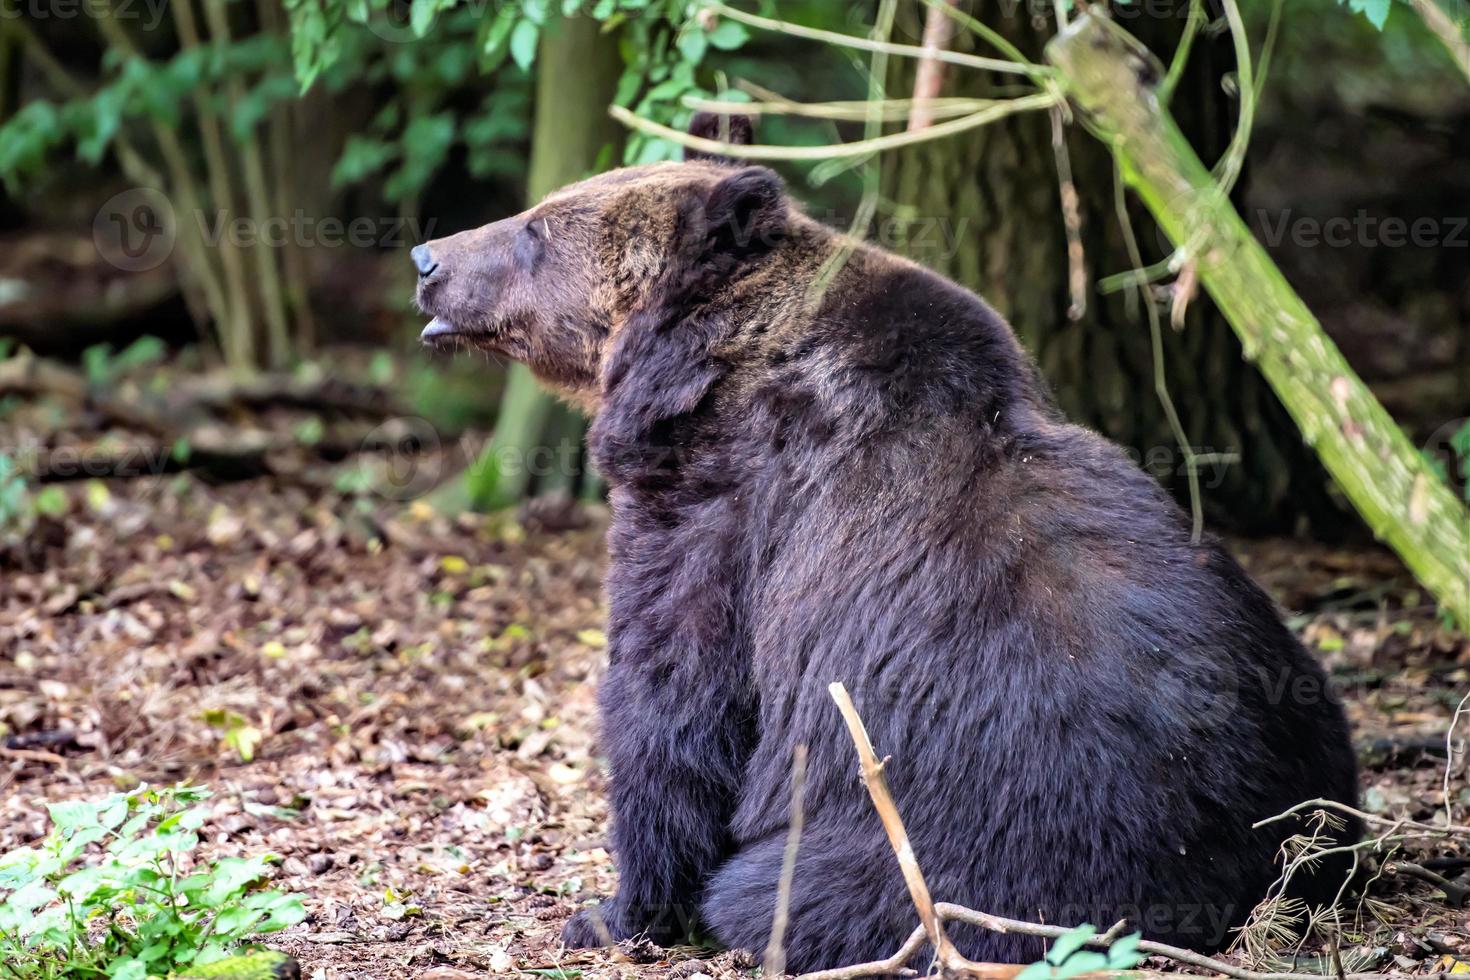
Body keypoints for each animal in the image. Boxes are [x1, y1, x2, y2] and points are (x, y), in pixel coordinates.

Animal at [411, 115, 1352, 975]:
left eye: (538, 230)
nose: (427, 258)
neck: (698, 375)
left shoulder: (724, 517)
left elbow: (673, 696)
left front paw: (613, 910)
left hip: (959, 841)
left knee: (784, 891)